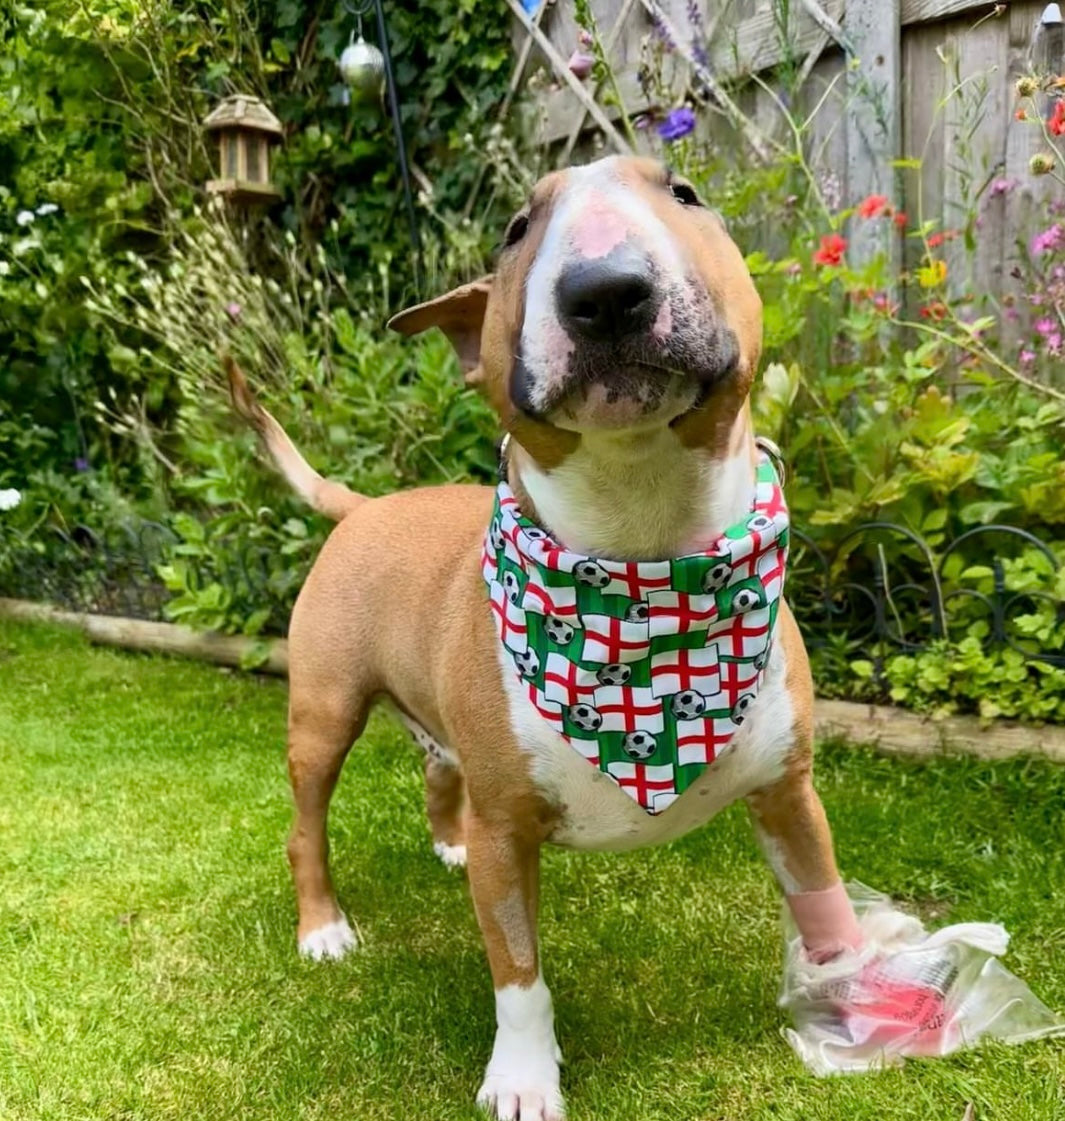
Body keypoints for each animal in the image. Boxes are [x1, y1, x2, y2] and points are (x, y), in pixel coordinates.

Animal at [229, 155, 860, 1121]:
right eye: (516, 228)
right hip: (323, 715)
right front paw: (523, 1078)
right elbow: (517, 970)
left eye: (684, 194)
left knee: (437, 765)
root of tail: (363, 504)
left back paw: (444, 841)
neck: (640, 560)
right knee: (308, 824)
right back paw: (323, 925)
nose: (605, 291)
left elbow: (823, 902)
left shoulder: (789, 792)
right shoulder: (506, 840)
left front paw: (857, 999)